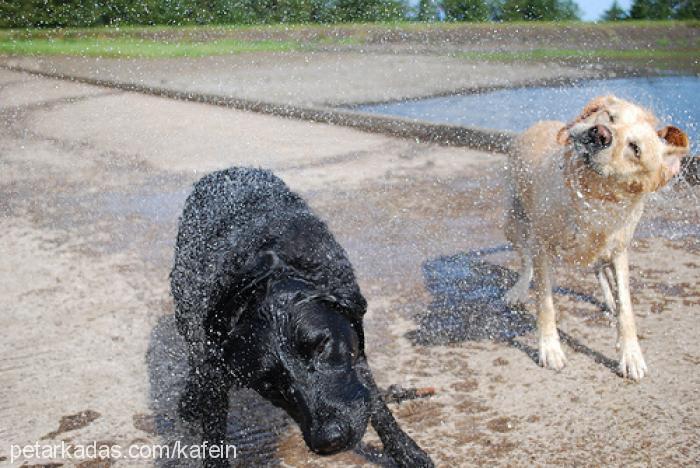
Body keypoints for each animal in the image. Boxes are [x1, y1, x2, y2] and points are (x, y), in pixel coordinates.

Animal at [171, 168, 432, 468]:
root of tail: (225, 170)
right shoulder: (215, 351)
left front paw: (406, 451)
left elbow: (374, 399)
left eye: (321, 346)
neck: (270, 271)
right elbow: (213, 425)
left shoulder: (352, 343)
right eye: (267, 382)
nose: (330, 439)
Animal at [504, 95, 688, 380]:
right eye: (609, 116)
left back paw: (609, 299)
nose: (600, 134)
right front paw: (550, 348)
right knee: (526, 262)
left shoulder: (619, 249)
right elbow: (545, 302)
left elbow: (626, 307)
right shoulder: (543, 244)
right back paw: (518, 290)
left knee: (599, 270)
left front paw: (631, 355)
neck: (591, 193)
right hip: (514, 224)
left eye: (635, 148)